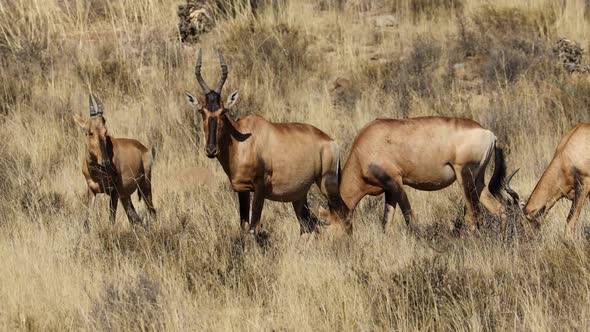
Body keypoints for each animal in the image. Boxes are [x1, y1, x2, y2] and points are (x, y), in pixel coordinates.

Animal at [73, 94, 156, 227]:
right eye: (90, 132)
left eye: (105, 131)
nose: (105, 162)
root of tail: (144, 149)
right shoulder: (92, 190)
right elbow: (87, 222)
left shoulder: (114, 191)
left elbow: (111, 219)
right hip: (125, 196)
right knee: (135, 218)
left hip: (145, 185)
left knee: (152, 211)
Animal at [185, 50, 342, 236]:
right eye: (202, 111)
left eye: (222, 111)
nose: (211, 150)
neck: (241, 140)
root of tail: (331, 142)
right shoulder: (242, 189)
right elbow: (243, 227)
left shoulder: (260, 186)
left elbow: (253, 228)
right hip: (299, 196)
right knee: (309, 225)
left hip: (327, 184)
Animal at [320, 116, 508, 233]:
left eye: (324, 224)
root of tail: (489, 134)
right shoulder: (389, 190)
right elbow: (386, 222)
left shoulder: (396, 182)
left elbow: (410, 218)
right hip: (478, 180)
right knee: (500, 209)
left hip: (465, 177)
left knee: (473, 214)